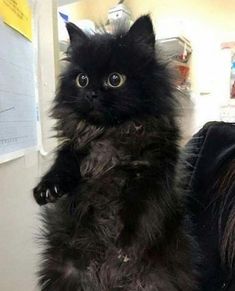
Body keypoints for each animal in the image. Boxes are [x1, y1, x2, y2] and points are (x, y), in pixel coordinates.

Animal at [33, 16, 198, 291]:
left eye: (115, 79)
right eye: (82, 80)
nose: (90, 93)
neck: (110, 133)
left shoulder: (149, 177)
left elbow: (136, 215)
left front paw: (124, 247)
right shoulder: (75, 151)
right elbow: (62, 164)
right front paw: (47, 189)